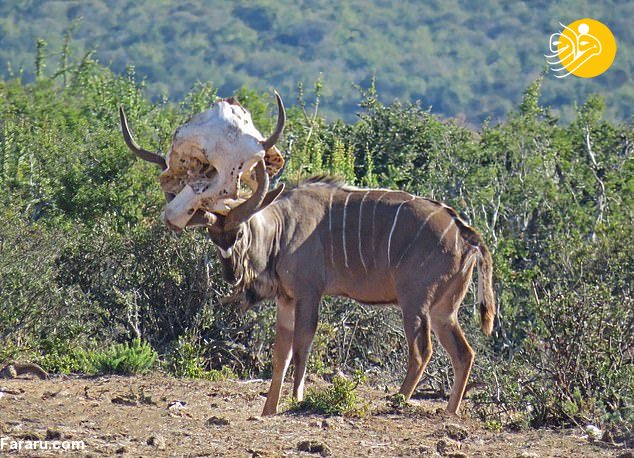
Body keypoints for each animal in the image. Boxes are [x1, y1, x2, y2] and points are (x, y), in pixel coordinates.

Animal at [119, 98, 494, 416]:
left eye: (238, 233)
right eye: (213, 237)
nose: (230, 273)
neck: (282, 228)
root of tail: (465, 233)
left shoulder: (308, 294)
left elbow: (302, 346)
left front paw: (296, 400)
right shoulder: (285, 300)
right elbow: (280, 354)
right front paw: (268, 409)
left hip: (415, 301)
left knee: (422, 350)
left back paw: (396, 401)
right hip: (444, 308)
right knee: (464, 353)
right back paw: (449, 412)